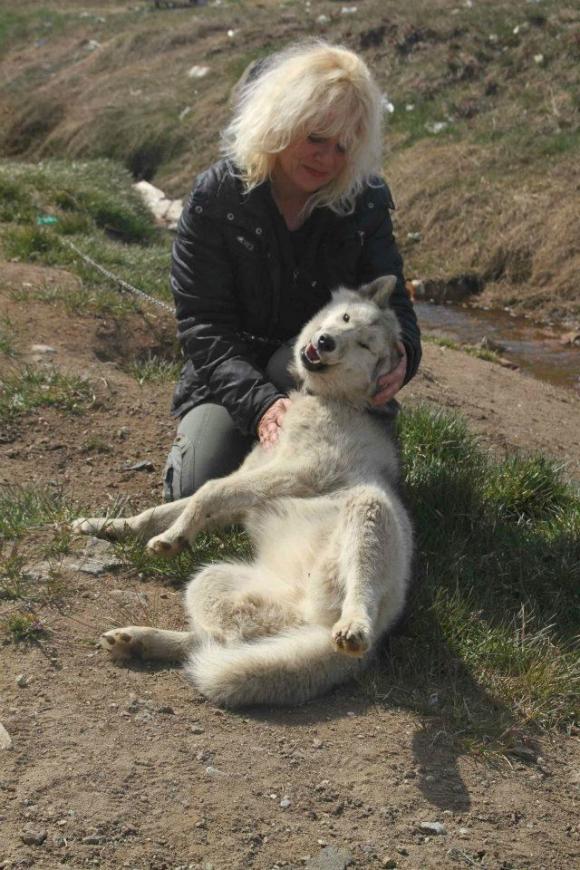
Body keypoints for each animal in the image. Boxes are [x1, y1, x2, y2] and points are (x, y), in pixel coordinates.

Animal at [73, 280, 412, 708]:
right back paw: (137, 641)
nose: (326, 341)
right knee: (216, 642)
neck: (325, 400)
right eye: (346, 317)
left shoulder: (295, 474)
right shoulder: (249, 482)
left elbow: (208, 490)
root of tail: (313, 623)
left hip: (370, 512)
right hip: (210, 581)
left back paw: (353, 627)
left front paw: (171, 538)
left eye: (366, 345)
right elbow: (165, 510)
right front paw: (109, 526)